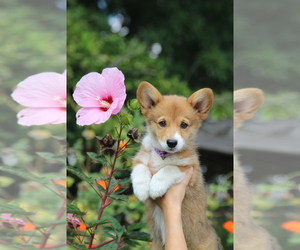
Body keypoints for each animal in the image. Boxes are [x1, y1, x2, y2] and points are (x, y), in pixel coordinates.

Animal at [131, 82, 220, 250]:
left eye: (184, 125)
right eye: (162, 123)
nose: (172, 142)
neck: (164, 155)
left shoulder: (190, 171)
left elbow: (169, 168)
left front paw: (155, 187)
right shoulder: (139, 159)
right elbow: (140, 169)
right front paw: (141, 189)